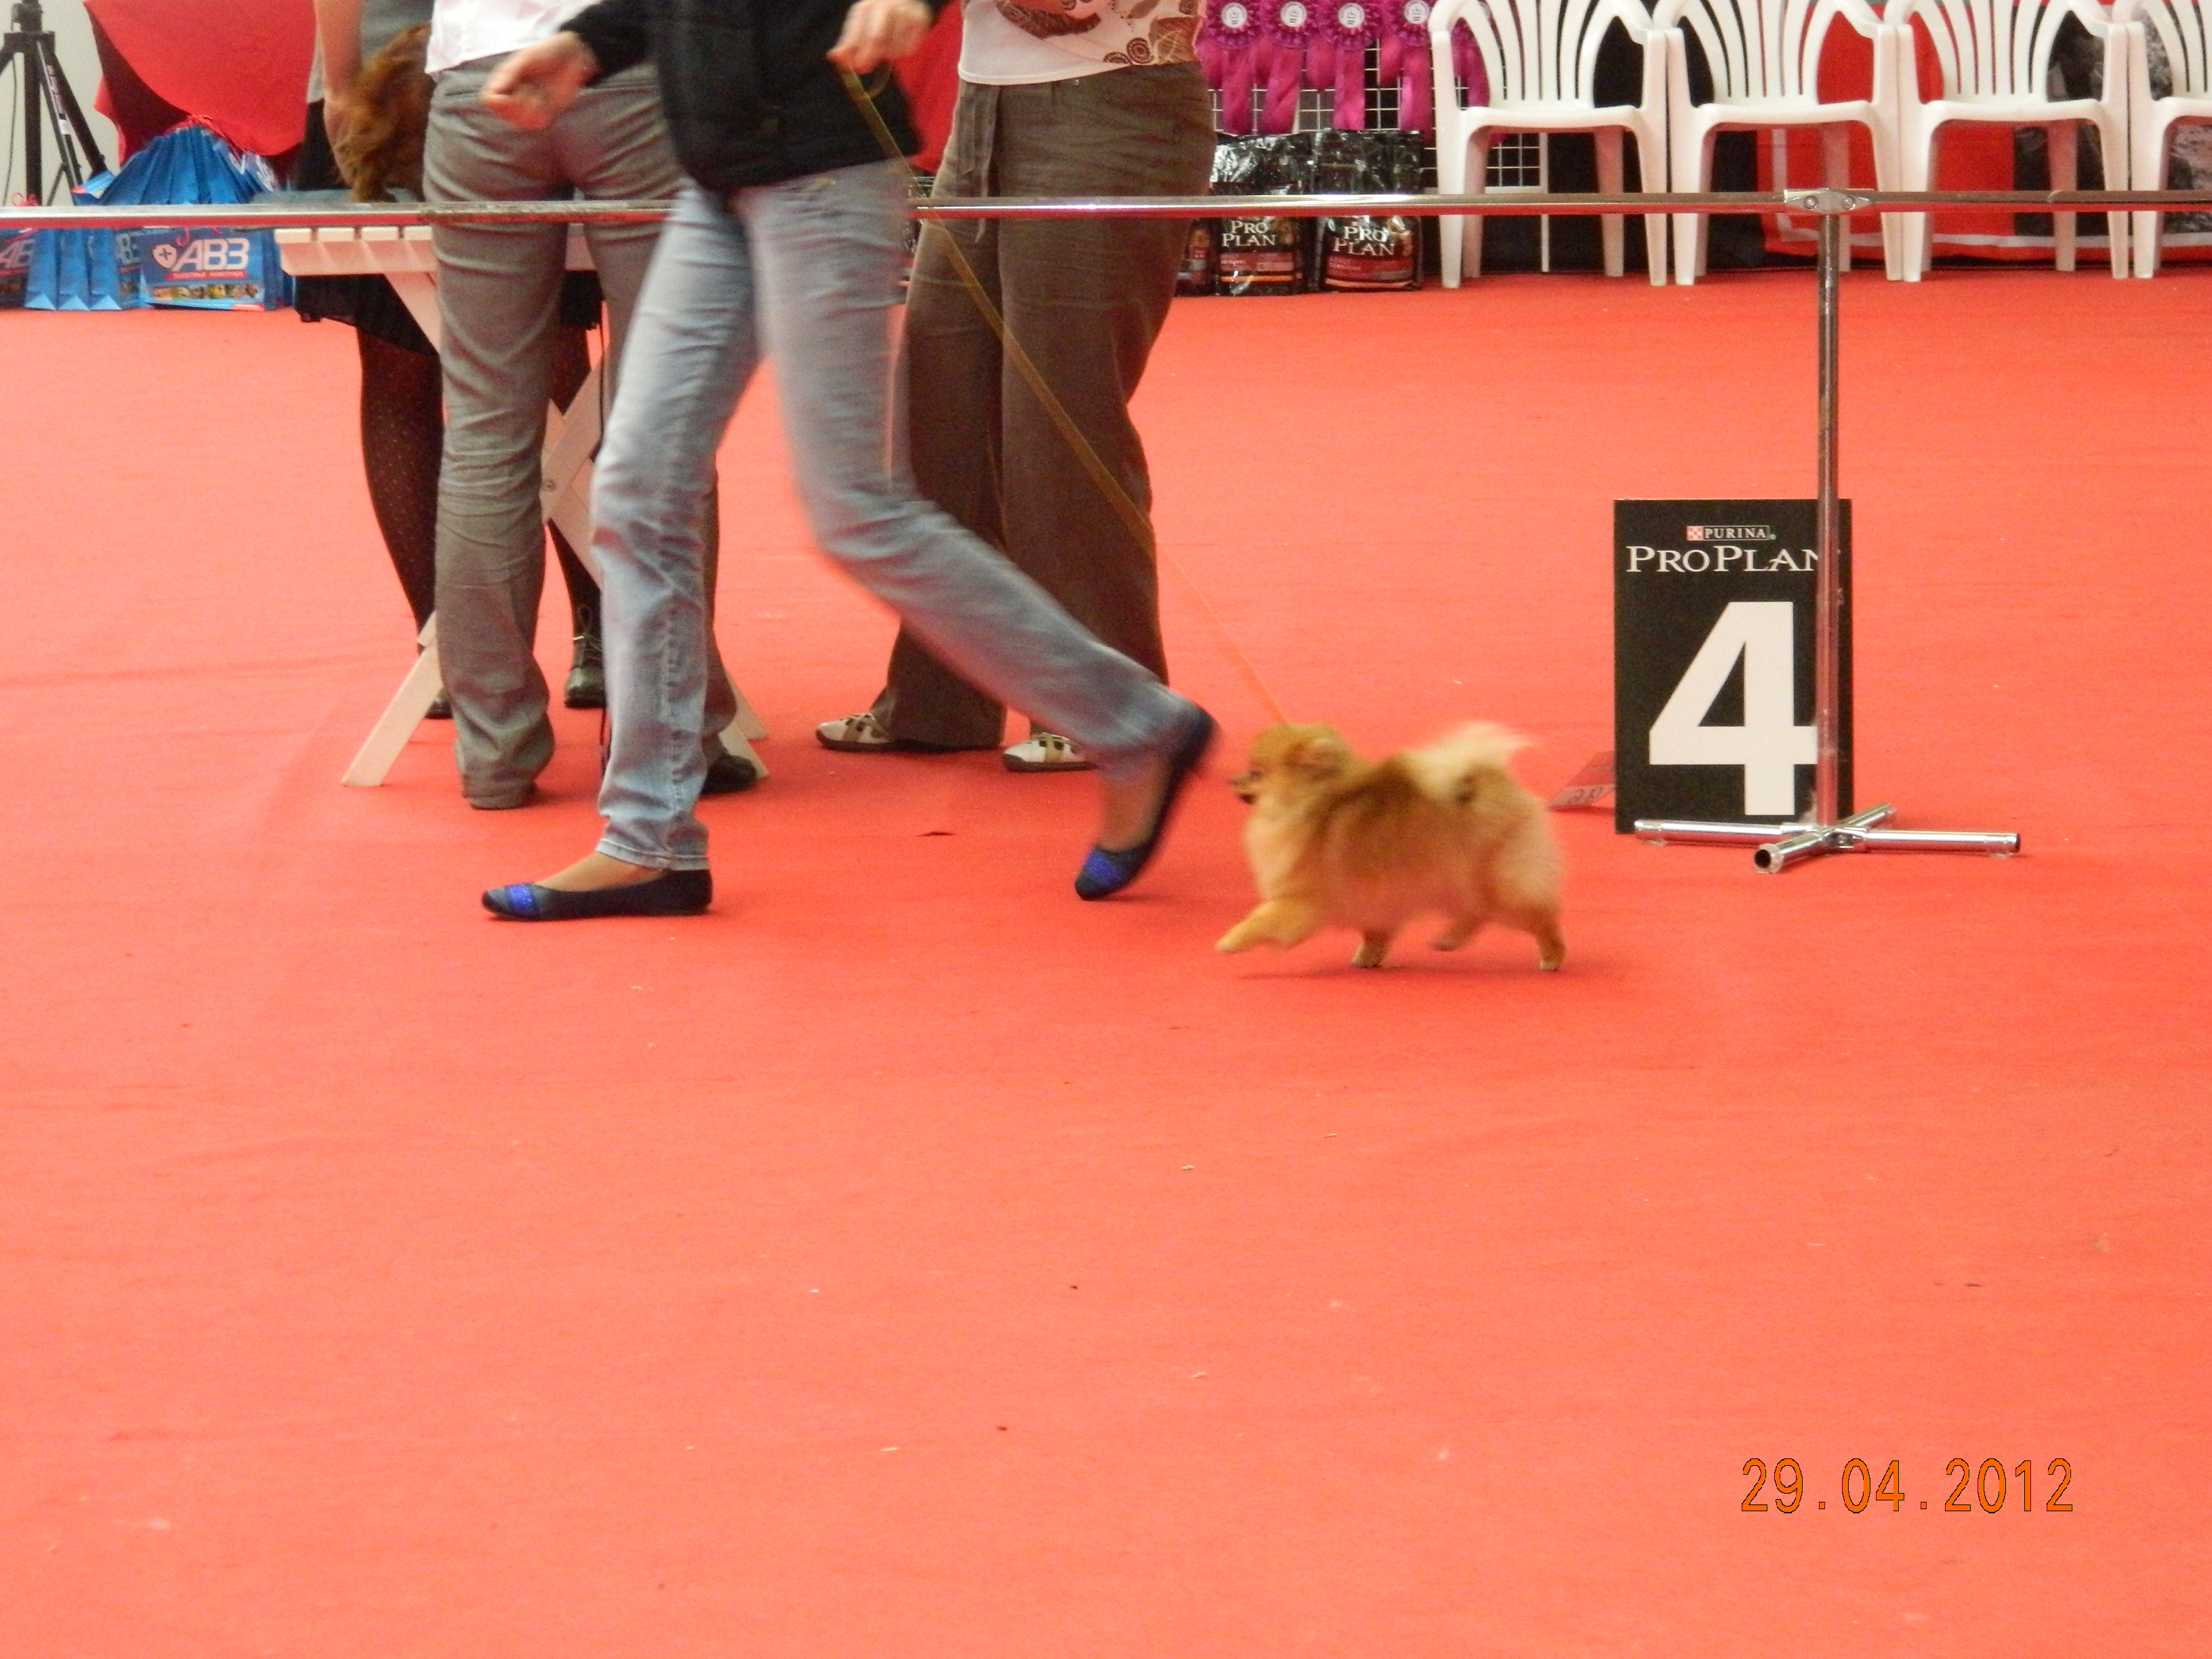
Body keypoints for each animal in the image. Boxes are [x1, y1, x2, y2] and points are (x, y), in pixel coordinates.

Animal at [1217, 722, 1564, 971]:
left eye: (1257, 772)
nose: (1233, 780)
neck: (1316, 805)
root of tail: (1491, 783)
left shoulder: (1304, 898)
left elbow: (1263, 918)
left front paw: (1230, 942)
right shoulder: (1374, 895)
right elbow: (1375, 931)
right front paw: (1369, 956)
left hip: (1493, 877)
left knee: (1535, 915)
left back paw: (1552, 957)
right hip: (1452, 879)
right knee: (1476, 911)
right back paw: (1448, 940)